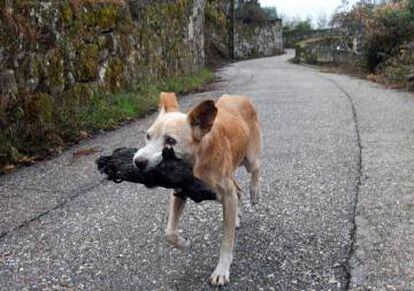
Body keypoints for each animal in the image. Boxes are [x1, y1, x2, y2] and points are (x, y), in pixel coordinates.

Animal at [133, 93, 262, 288]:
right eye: (148, 136)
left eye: (170, 141)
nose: (138, 161)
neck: (197, 161)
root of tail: (239, 97)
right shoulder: (179, 193)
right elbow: (170, 232)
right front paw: (184, 243)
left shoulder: (227, 195)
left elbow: (227, 242)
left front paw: (221, 271)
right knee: (238, 191)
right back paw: (236, 217)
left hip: (250, 159)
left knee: (255, 171)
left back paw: (254, 193)